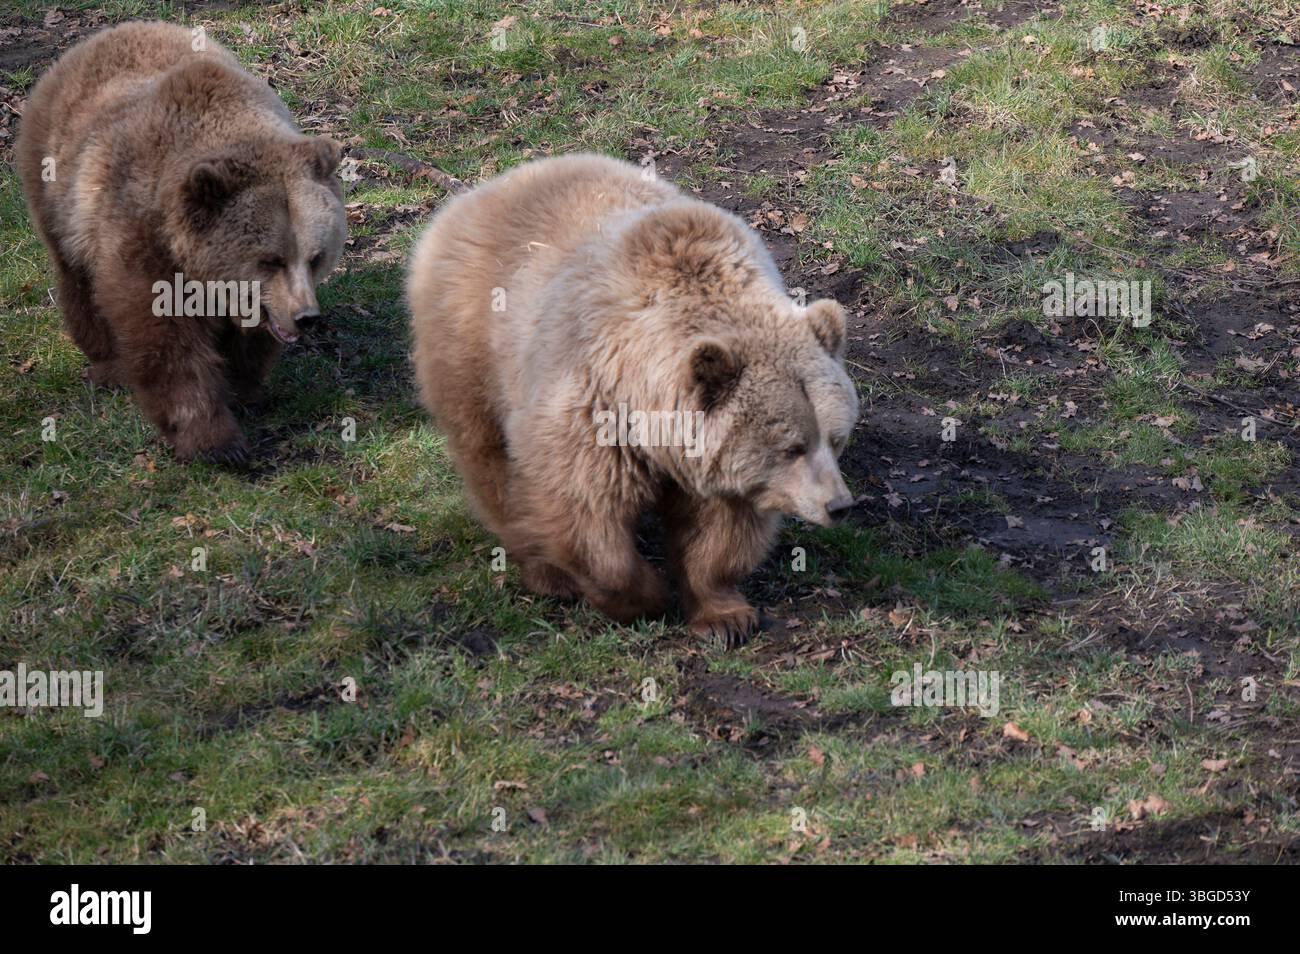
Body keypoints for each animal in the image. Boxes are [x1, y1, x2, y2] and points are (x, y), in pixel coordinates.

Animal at [15, 21, 347, 465]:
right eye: (271, 259)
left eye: (315, 257)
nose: (306, 316)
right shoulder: (144, 238)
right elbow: (167, 344)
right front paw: (216, 442)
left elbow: (248, 340)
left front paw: (244, 390)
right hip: (59, 191)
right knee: (77, 278)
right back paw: (106, 365)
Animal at [407, 154, 858, 647]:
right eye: (792, 447)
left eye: (836, 439)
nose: (839, 505)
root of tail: (490, 185)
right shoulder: (594, 409)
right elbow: (585, 513)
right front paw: (646, 597)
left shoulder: (716, 462)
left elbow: (721, 532)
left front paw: (725, 616)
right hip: (472, 342)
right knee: (490, 460)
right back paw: (546, 572)